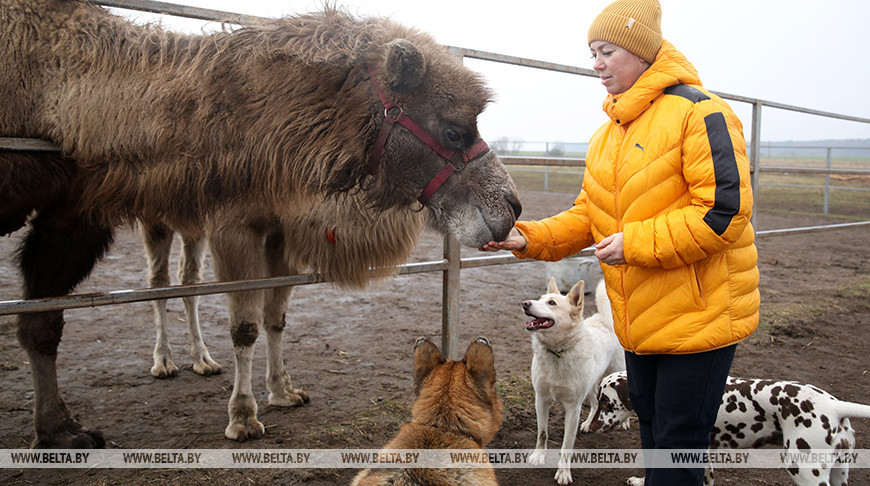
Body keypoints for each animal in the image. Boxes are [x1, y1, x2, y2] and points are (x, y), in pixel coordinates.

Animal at [0, 0, 520, 448]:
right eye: (454, 130)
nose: (511, 206)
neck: (54, 94)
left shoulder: (77, 214)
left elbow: (275, 316)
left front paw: (283, 391)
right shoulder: (234, 226)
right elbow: (245, 325)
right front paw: (243, 416)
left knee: (187, 282)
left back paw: (199, 360)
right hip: (158, 223)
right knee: (161, 282)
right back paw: (165, 361)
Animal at [524, 280, 628, 484]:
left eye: (552, 303)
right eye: (540, 298)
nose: (525, 303)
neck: (557, 352)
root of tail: (604, 320)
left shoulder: (573, 408)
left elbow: (566, 444)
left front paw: (564, 473)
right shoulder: (541, 399)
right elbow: (542, 433)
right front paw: (538, 456)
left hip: (614, 373)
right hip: (592, 385)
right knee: (595, 403)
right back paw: (588, 423)